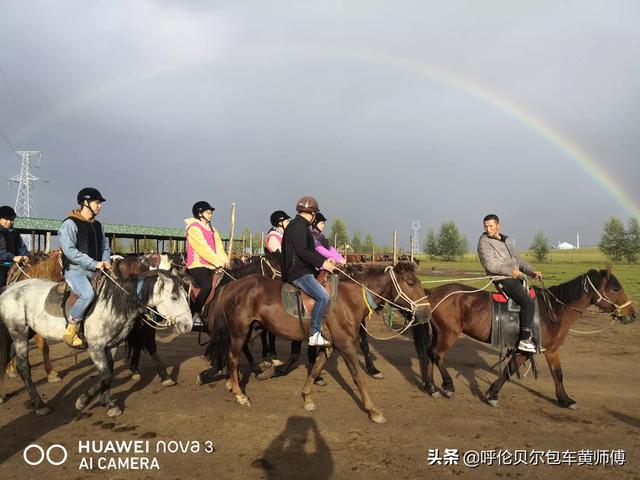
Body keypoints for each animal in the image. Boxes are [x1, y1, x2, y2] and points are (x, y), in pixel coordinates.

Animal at [0, 266, 192, 416]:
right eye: (174, 297)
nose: (188, 325)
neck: (113, 305)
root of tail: (9, 288)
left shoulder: (111, 345)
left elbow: (109, 373)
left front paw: (108, 404)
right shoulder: (95, 347)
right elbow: (105, 373)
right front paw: (83, 400)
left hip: (24, 334)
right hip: (19, 334)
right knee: (23, 367)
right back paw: (39, 405)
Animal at [200, 262, 430, 424]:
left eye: (419, 283)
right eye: (410, 283)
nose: (426, 313)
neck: (348, 299)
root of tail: (230, 285)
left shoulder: (330, 345)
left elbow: (315, 369)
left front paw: (307, 398)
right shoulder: (346, 345)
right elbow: (358, 378)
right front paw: (373, 410)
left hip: (249, 330)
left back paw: (233, 382)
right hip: (239, 333)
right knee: (232, 358)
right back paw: (240, 394)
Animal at [420, 268, 636, 406]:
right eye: (615, 289)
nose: (632, 314)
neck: (553, 310)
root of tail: (433, 292)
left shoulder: (549, 350)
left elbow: (556, 374)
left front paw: (564, 400)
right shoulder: (529, 349)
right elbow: (512, 369)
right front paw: (493, 394)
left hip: (439, 333)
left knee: (429, 354)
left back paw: (431, 387)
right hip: (448, 333)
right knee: (437, 355)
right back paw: (448, 386)